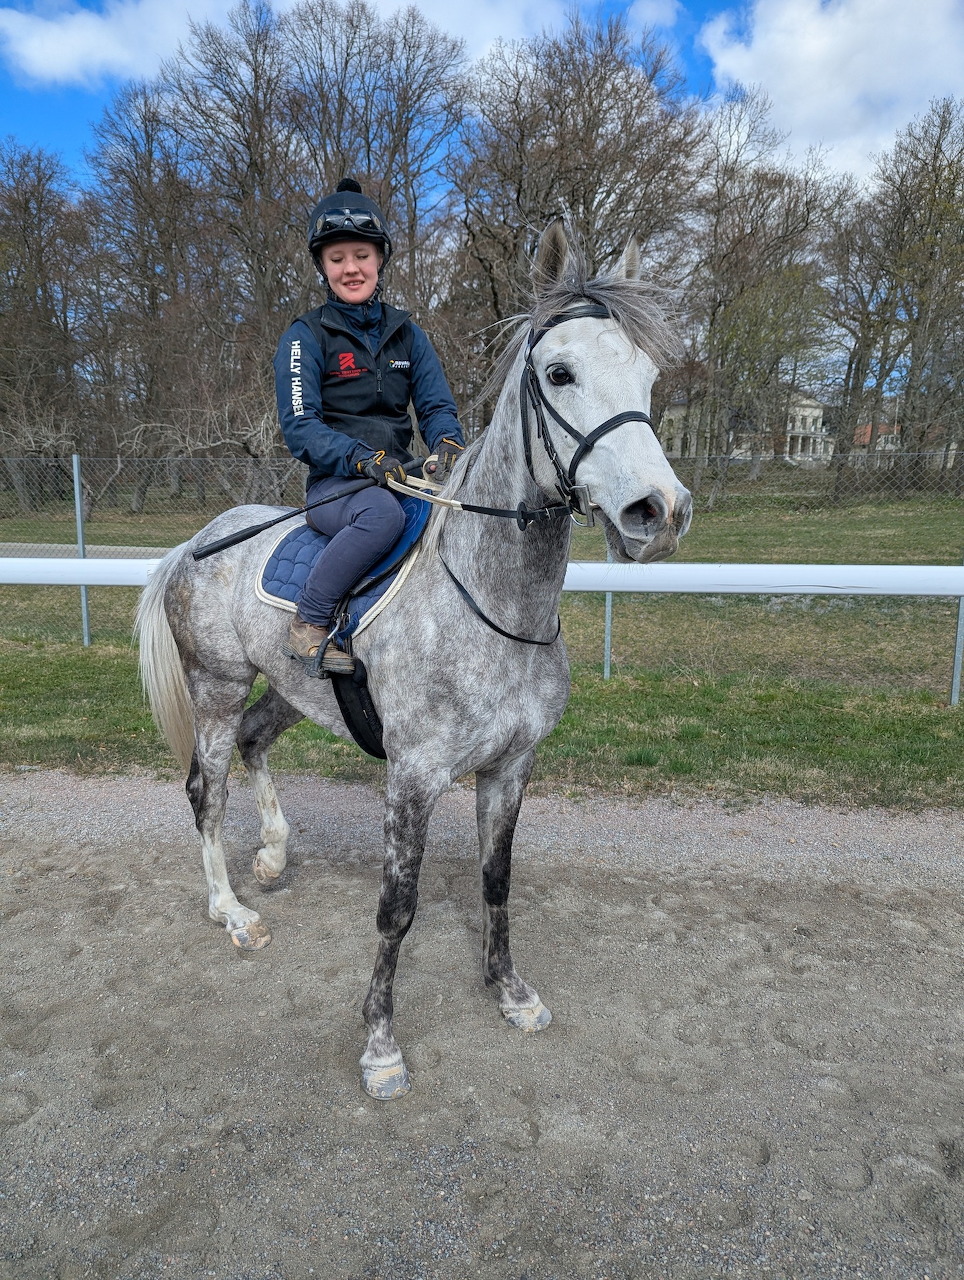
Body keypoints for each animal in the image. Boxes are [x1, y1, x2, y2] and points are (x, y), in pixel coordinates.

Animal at [135, 221, 692, 1100]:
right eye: (559, 373)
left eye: (646, 372)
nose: (658, 512)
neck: (492, 608)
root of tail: (199, 540)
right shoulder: (414, 778)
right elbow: (397, 908)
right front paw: (380, 1045)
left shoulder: (510, 768)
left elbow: (497, 882)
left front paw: (510, 992)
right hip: (215, 689)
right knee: (206, 790)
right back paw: (232, 912)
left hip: (289, 690)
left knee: (256, 746)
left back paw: (273, 855)